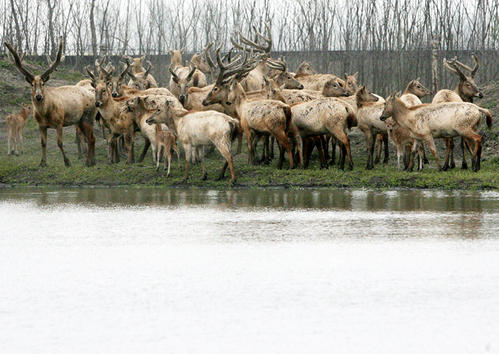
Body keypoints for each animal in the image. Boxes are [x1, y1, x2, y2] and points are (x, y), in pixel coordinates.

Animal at [4, 36, 96, 167]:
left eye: (43, 83)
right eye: (32, 84)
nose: (38, 96)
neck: (45, 114)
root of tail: (93, 96)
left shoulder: (59, 122)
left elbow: (59, 143)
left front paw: (67, 162)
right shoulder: (41, 125)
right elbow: (43, 143)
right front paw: (42, 162)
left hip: (88, 115)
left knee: (91, 138)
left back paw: (88, 162)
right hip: (80, 120)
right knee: (92, 138)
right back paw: (92, 161)